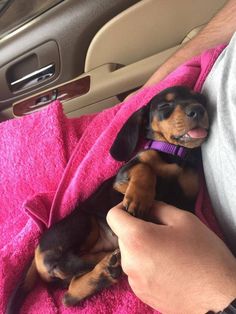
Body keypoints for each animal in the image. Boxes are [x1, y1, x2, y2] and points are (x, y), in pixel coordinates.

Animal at [6, 86, 208, 314]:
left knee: (69, 294)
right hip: (83, 222)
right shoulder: (122, 177)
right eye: (165, 105)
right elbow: (144, 167)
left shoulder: (188, 198)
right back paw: (107, 258)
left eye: (199, 98)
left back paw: (104, 270)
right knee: (60, 263)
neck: (174, 155)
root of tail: (36, 250)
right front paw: (139, 198)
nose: (198, 110)